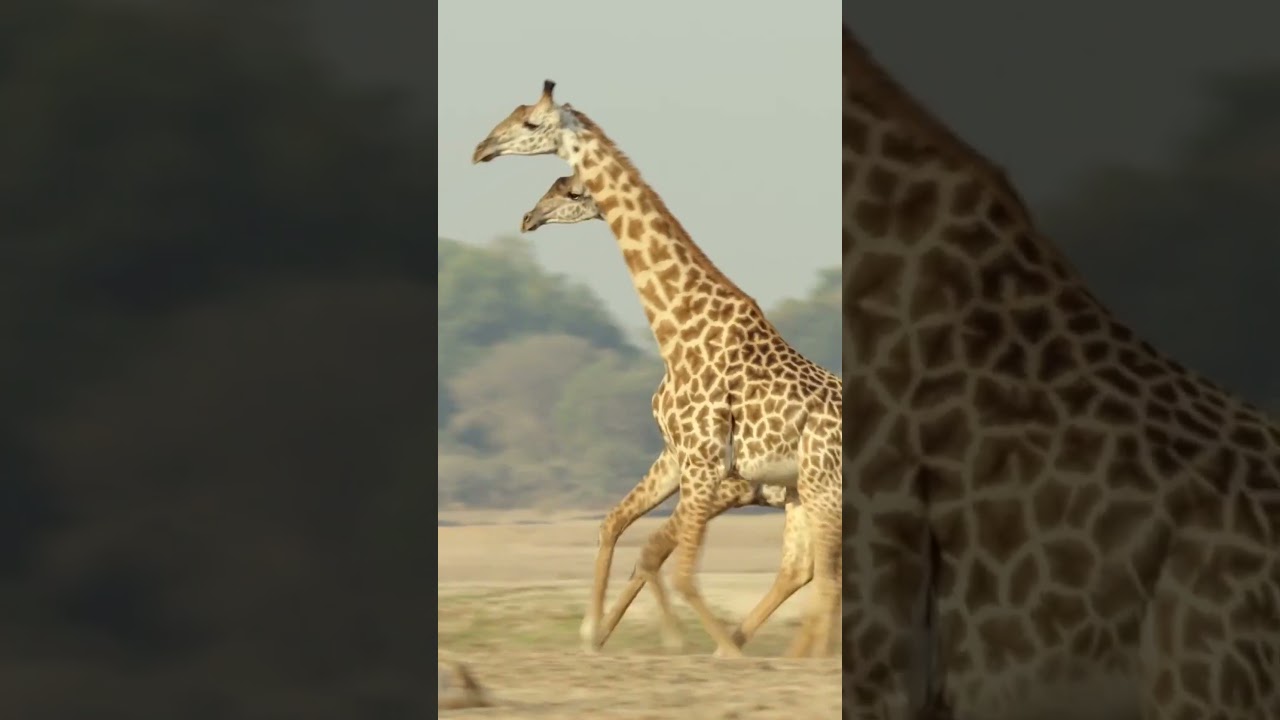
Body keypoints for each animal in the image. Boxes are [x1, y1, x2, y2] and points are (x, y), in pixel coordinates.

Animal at [518, 173, 827, 656]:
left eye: (572, 192)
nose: (529, 217)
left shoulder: (718, 477)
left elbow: (652, 548)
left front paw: (659, 636)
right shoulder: (677, 459)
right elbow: (618, 526)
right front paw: (596, 633)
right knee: (802, 569)